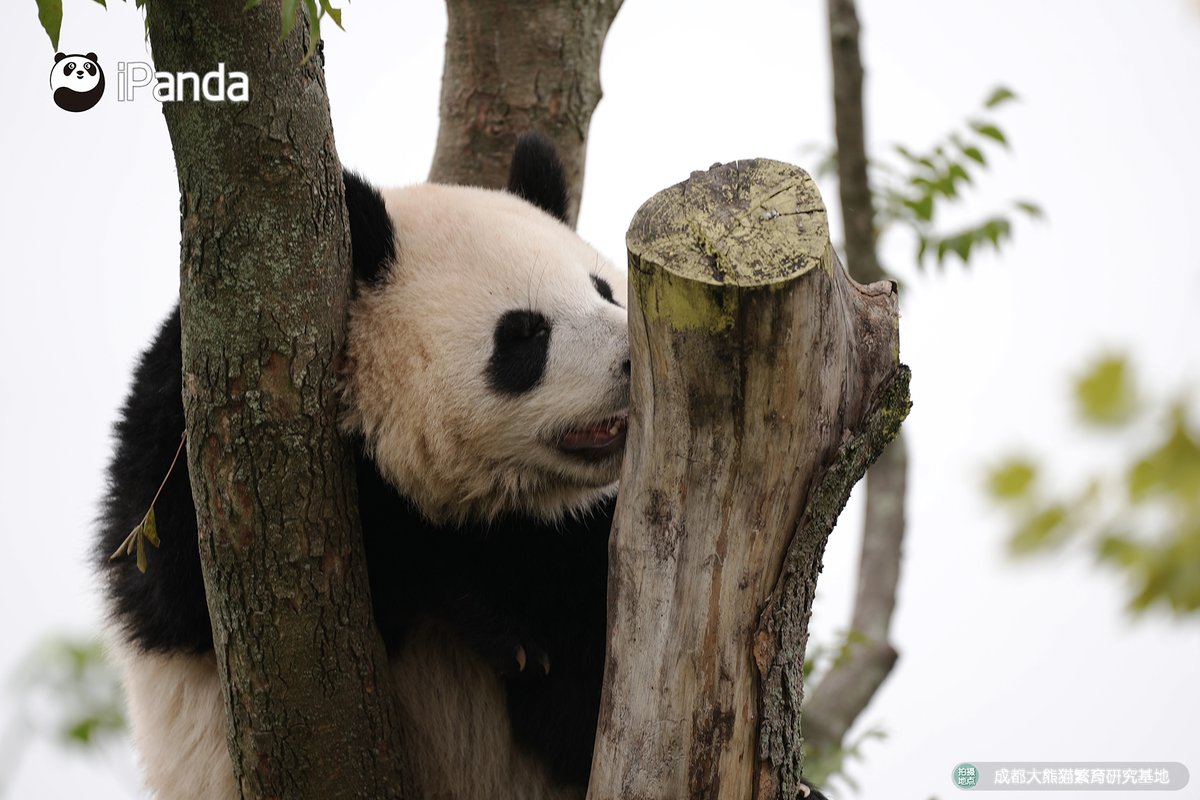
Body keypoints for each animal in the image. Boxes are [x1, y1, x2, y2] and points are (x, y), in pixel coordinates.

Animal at [97, 133, 628, 800]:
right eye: (525, 332)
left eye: (604, 290)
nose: (631, 360)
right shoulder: (190, 425)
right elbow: (174, 584)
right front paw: (496, 622)